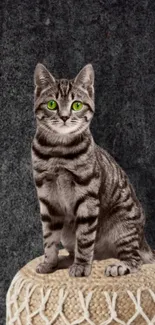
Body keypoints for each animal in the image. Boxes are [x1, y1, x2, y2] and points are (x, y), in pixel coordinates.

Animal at [31, 62, 155, 276]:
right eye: (52, 104)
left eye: (77, 105)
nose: (64, 117)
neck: (58, 151)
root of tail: (142, 239)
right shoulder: (47, 199)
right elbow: (49, 238)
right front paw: (49, 264)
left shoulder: (87, 196)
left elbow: (85, 238)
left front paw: (81, 267)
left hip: (123, 225)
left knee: (135, 259)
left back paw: (118, 266)